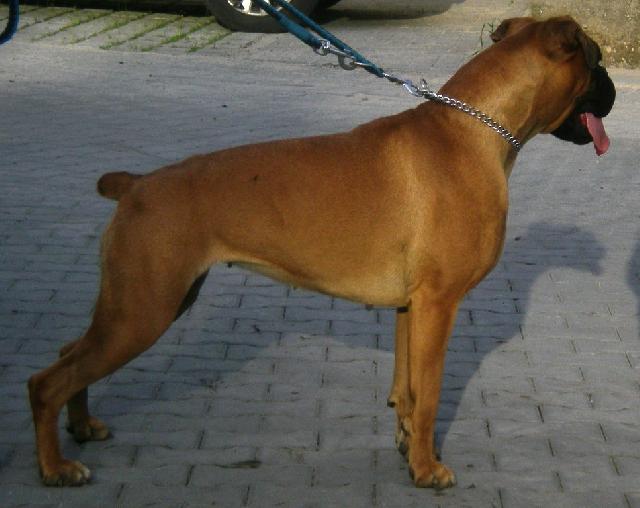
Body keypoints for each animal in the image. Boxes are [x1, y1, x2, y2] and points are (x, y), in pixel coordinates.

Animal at [28, 16, 615, 489]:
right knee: (47, 381)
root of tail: (136, 185)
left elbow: (407, 390)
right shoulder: (439, 305)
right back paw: (56, 468)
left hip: (138, 305)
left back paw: (81, 427)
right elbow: (428, 395)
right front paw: (428, 471)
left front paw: (407, 447)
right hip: (143, 311)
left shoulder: (412, 308)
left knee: (68, 356)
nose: (612, 90)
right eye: (597, 61)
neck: (473, 129)